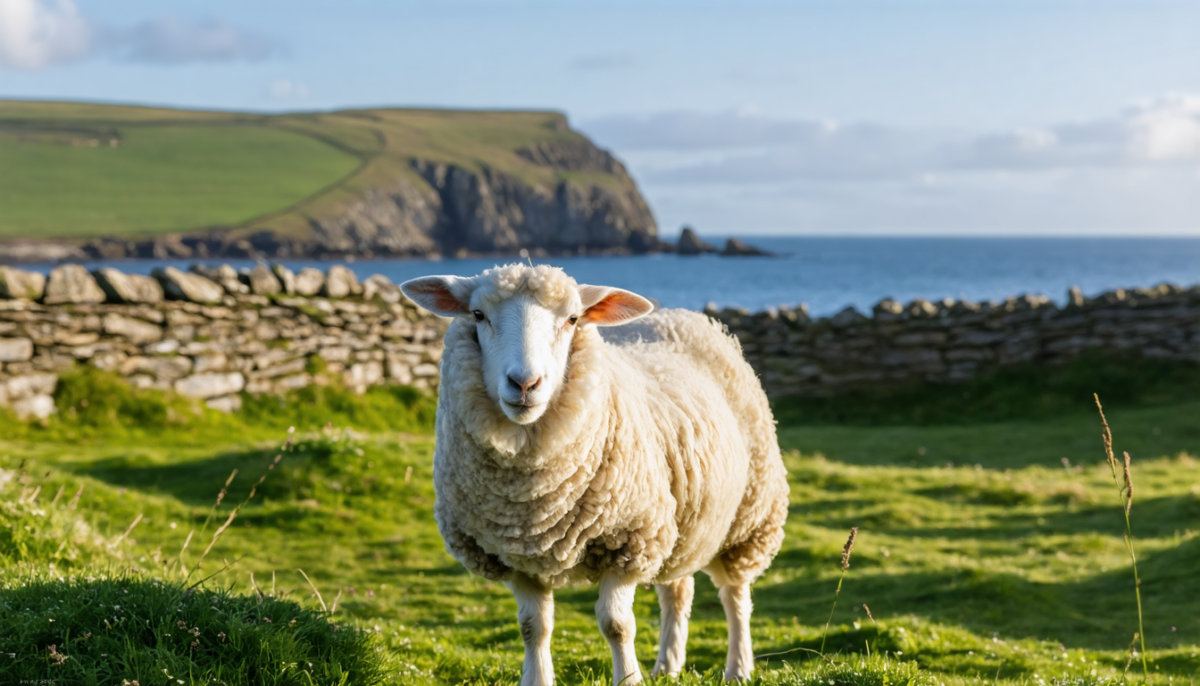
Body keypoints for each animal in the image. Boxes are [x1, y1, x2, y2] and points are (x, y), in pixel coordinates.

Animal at [400, 263, 789, 685]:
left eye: (572, 319)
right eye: (477, 315)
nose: (525, 384)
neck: (532, 500)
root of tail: (681, 316)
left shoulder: (630, 540)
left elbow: (617, 625)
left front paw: (628, 679)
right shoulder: (513, 554)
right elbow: (533, 626)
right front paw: (538, 678)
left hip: (750, 516)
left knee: (736, 596)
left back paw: (738, 667)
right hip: (678, 522)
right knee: (677, 590)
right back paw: (668, 666)